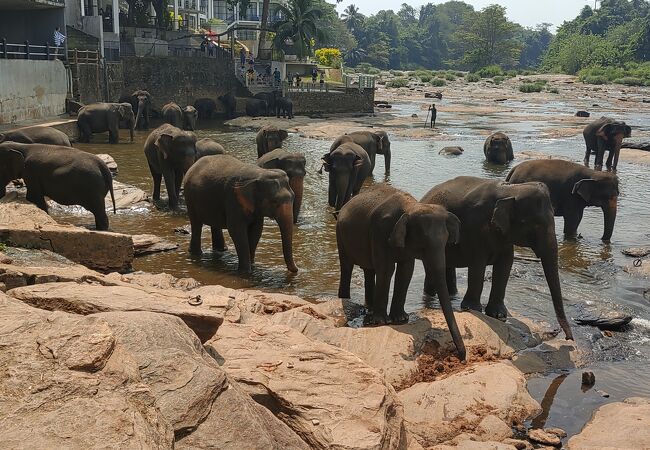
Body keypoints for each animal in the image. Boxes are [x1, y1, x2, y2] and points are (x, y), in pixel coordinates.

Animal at [334, 181, 466, 360]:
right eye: (423, 245)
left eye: (447, 241)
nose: (461, 356)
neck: (410, 207)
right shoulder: (380, 232)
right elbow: (386, 269)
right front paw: (381, 322)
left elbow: (406, 270)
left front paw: (401, 318)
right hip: (340, 234)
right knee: (347, 266)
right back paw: (347, 300)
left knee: (369, 270)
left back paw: (369, 308)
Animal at [420, 178, 572, 340]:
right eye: (534, 224)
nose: (568, 338)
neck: (510, 190)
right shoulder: (474, 229)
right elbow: (477, 264)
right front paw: (472, 308)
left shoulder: (505, 236)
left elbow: (505, 265)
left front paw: (498, 314)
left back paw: (452, 294)